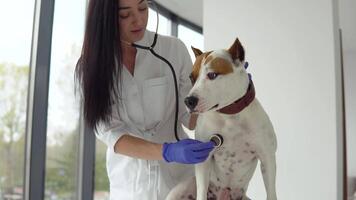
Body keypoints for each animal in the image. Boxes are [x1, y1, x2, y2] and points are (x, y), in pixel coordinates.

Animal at [165, 38, 276, 200]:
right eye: (192, 78)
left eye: (212, 75)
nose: (188, 101)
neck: (230, 115)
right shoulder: (203, 158)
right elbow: (201, 190)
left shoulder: (267, 158)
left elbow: (271, 191)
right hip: (178, 191)